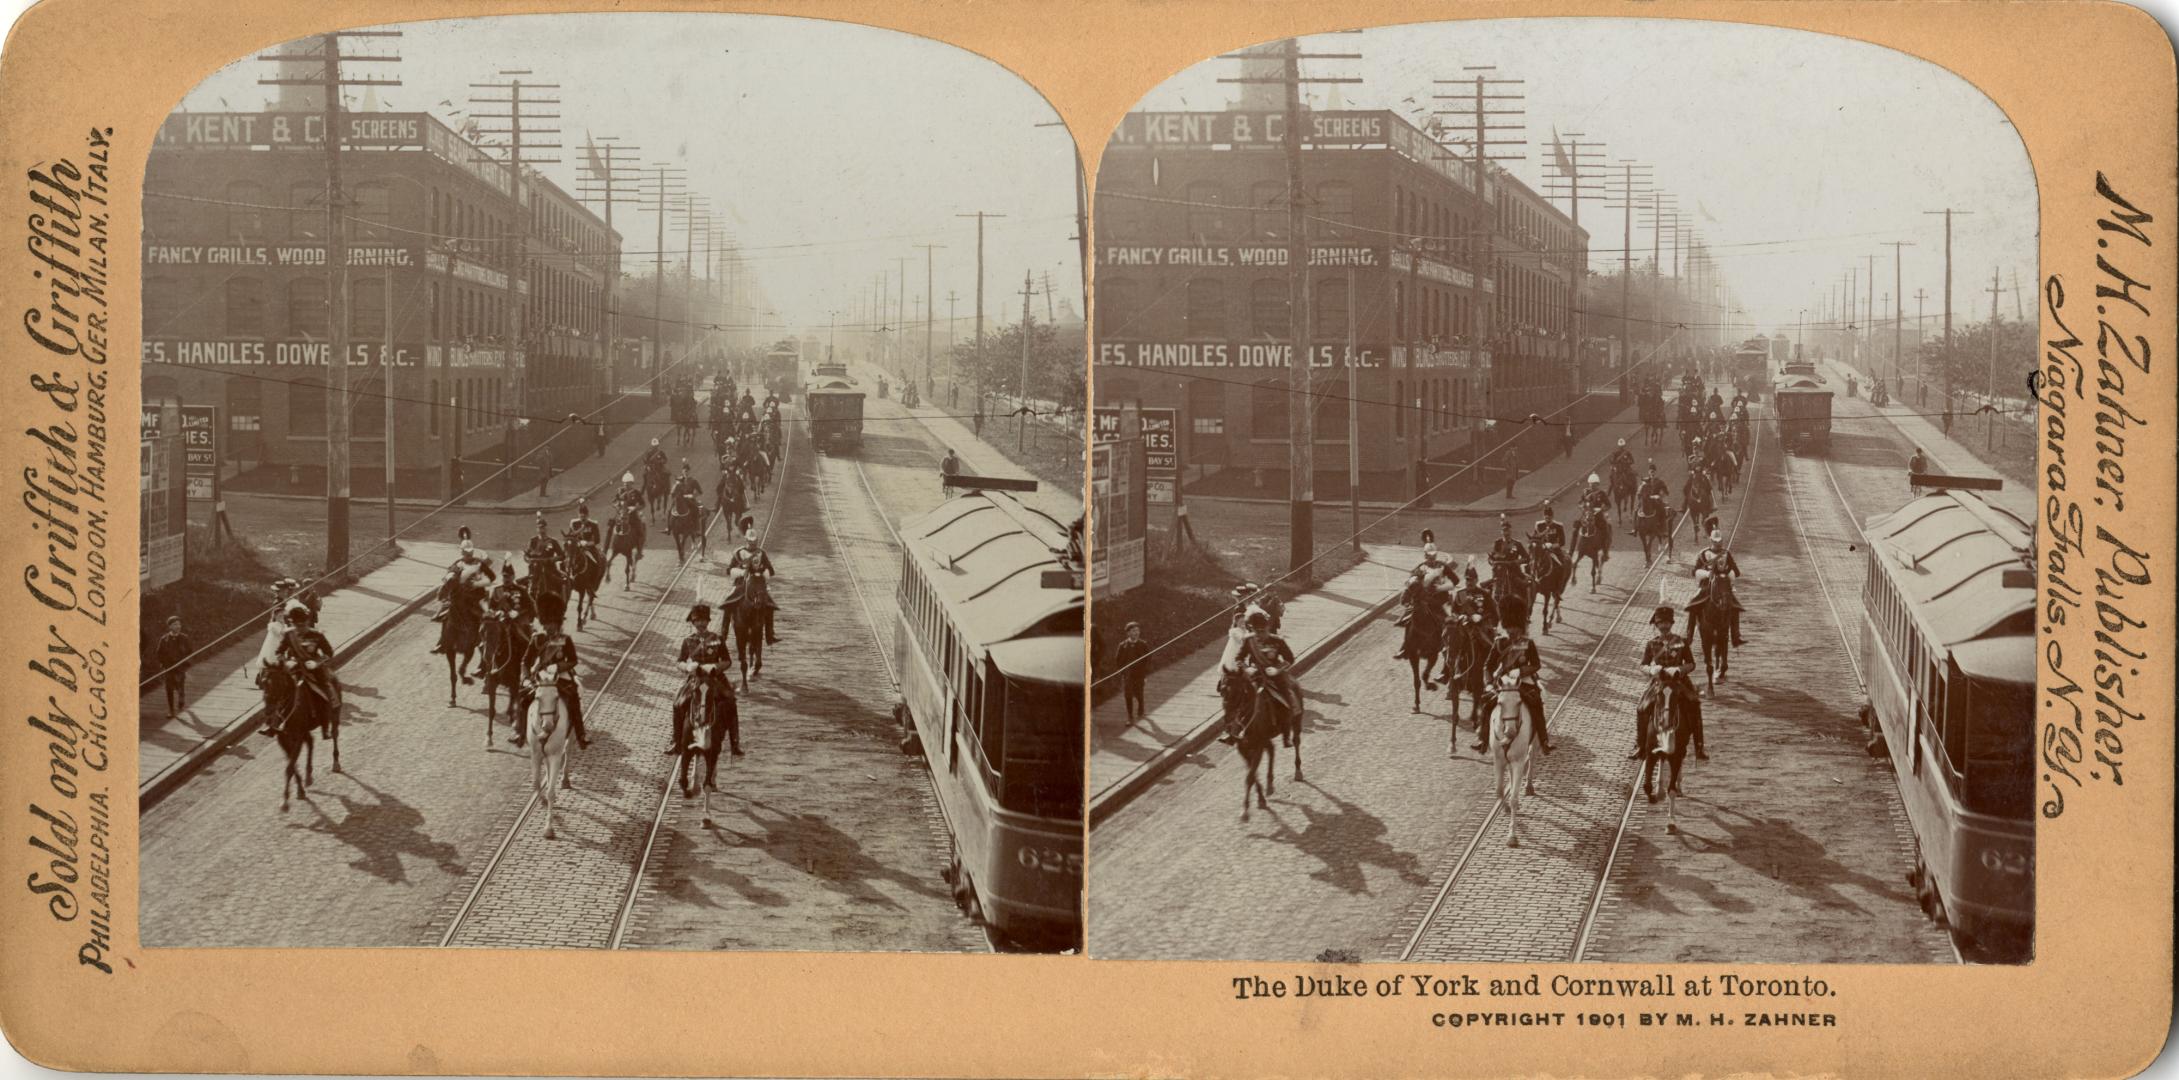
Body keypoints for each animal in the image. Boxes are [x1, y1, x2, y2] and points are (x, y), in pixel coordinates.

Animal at [518, 675, 570, 844]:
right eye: (538, 697)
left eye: (556, 697)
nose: (548, 726)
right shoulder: (535, 754)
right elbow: (535, 783)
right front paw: (542, 801)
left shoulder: (555, 756)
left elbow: (551, 792)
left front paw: (549, 828)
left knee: (568, 752)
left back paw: (565, 779)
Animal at [1490, 675, 1542, 844]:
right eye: (1500, 702)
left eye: (1519, 702)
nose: (1511, 732)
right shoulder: (1498, 761)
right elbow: (1499, 790)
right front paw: (1505, 808)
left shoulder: (1519, 762)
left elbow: (1514, 798)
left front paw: (1512, 835)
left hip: (1534, 741)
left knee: (1531, 757)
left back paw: (1528, 786)